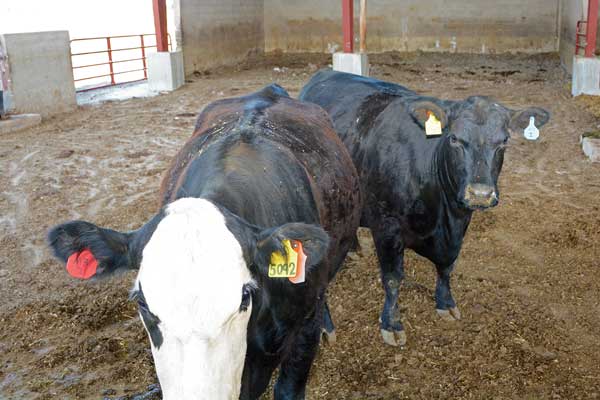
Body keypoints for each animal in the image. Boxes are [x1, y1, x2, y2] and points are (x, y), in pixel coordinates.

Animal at [300, 70, 548, 346]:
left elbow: (447, 267)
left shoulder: (459, 224)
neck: (442, 215)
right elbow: (393, 278)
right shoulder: (387, 226)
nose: (480, 194)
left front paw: (445, 303)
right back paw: (324, 326)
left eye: (504, 141)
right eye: (454, 139)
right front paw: (392, 324)